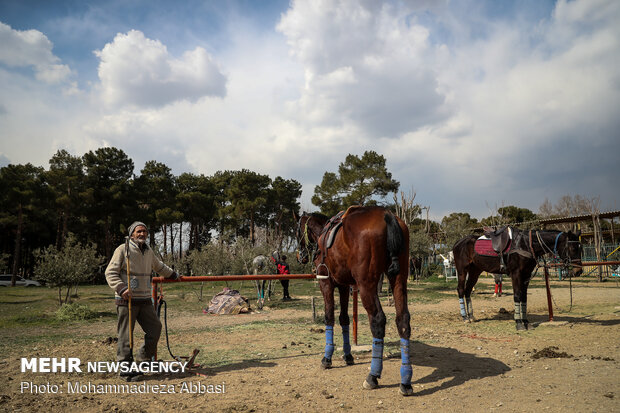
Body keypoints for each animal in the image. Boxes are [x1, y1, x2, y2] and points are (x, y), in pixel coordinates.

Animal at [296, 206, 412, 396]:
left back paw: (373, 375)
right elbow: (344, 319)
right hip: (399, 279)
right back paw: (406, 380)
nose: (300, 256)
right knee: (403, 320)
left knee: (378, 320)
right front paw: (348, 355)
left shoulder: (326, 283)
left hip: (366, 285)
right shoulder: (343, 286)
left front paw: (327, 358)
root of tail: (387, 215)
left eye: (296, 230)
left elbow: (329, 317)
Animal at [450, 227, 580, 330]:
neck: (527, 244)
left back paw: (471, 316)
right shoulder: (516, 274)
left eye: (580, 248)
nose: (579, 271)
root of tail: (458, 242)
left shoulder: (526, 275)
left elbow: (523, 297)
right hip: (462, 271)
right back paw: (465, 317)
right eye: (573, 248)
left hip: (475, 271)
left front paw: (526, 322)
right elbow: (517, 296)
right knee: (461, 290)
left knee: (467, 290)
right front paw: (519, 323)